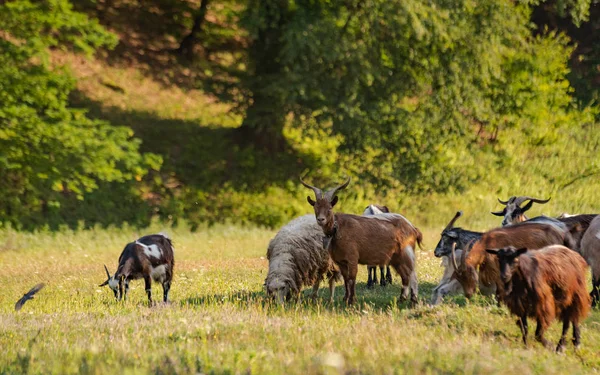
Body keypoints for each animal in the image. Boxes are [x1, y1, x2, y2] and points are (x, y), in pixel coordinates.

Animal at [300, 177, 422, 306]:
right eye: (316, 207)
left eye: (329, 208)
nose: (321, 219)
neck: (338, 229)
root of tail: (412, 228)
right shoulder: (341, 262)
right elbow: (346, 279)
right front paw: (345, 298)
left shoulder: (352, 258)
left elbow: (352, 278)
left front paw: (352, 301)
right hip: (396, 257)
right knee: (405, 275)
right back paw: (401, 299)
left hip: (406, 252)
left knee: (412, 274)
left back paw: (413, 301)